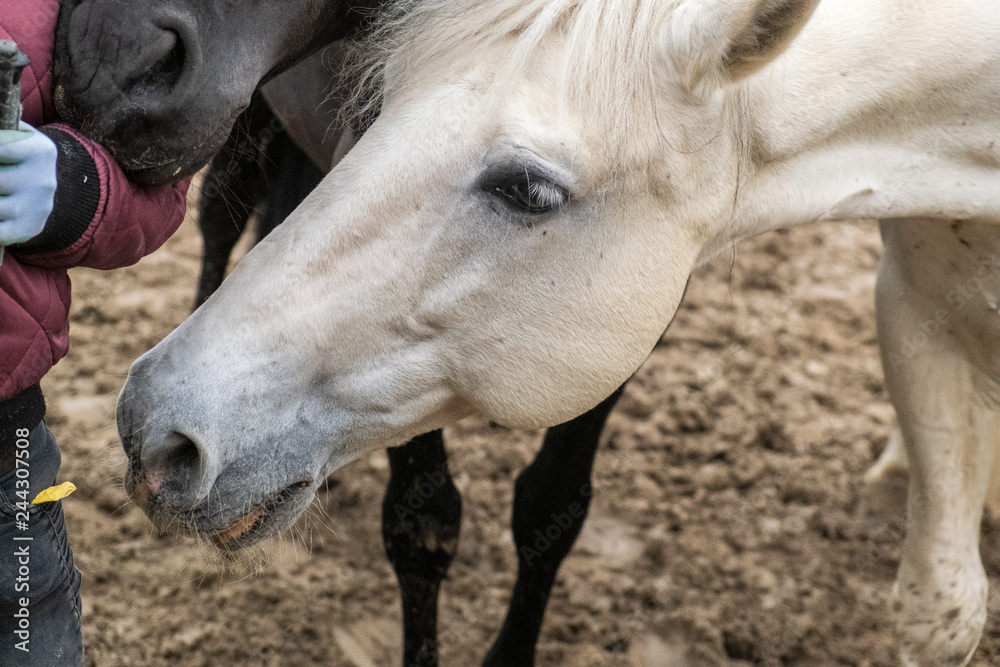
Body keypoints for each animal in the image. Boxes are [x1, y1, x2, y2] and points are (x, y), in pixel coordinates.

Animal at [115, 0, 1000, 664]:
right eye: (382, 107)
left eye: (529, 190)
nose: (155, 423)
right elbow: (425, 524)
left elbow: (551, 510)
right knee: (226, 211)